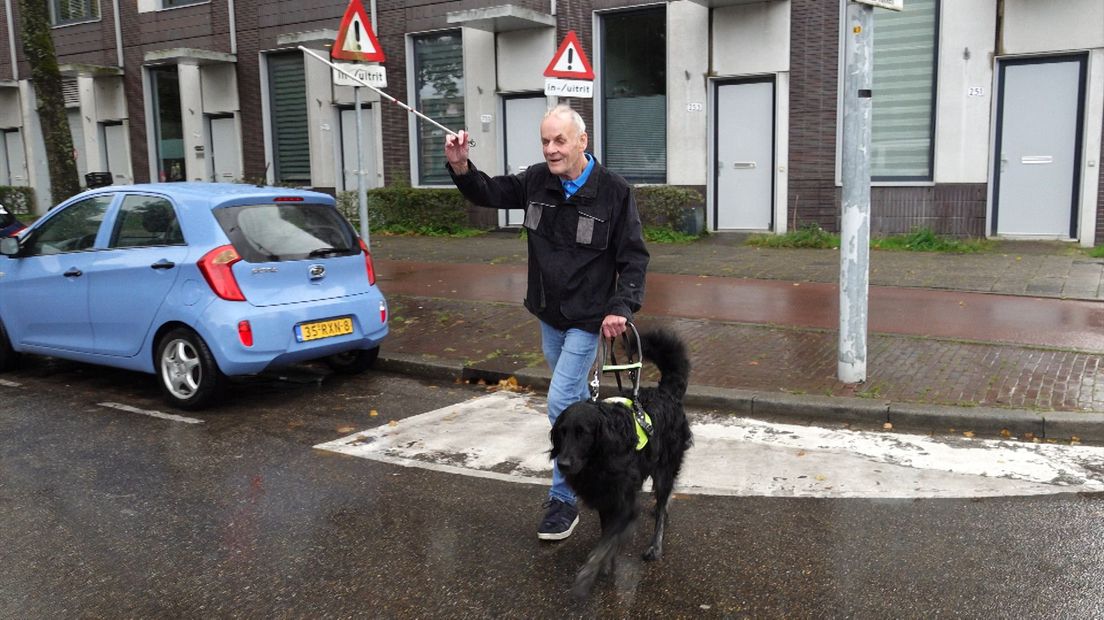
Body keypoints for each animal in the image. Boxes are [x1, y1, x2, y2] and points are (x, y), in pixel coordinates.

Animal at [549, 326, 693, 595]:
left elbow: (604, 544)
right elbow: (606, 536)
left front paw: (587, 576)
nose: (562, 464)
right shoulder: (605, 499)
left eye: (583, 433)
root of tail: (665, 392)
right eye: (561, 433)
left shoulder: (624, 503)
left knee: (663, 504)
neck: (600, 458)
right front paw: (605, 566)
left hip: (665, 468)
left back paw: (655, 545)